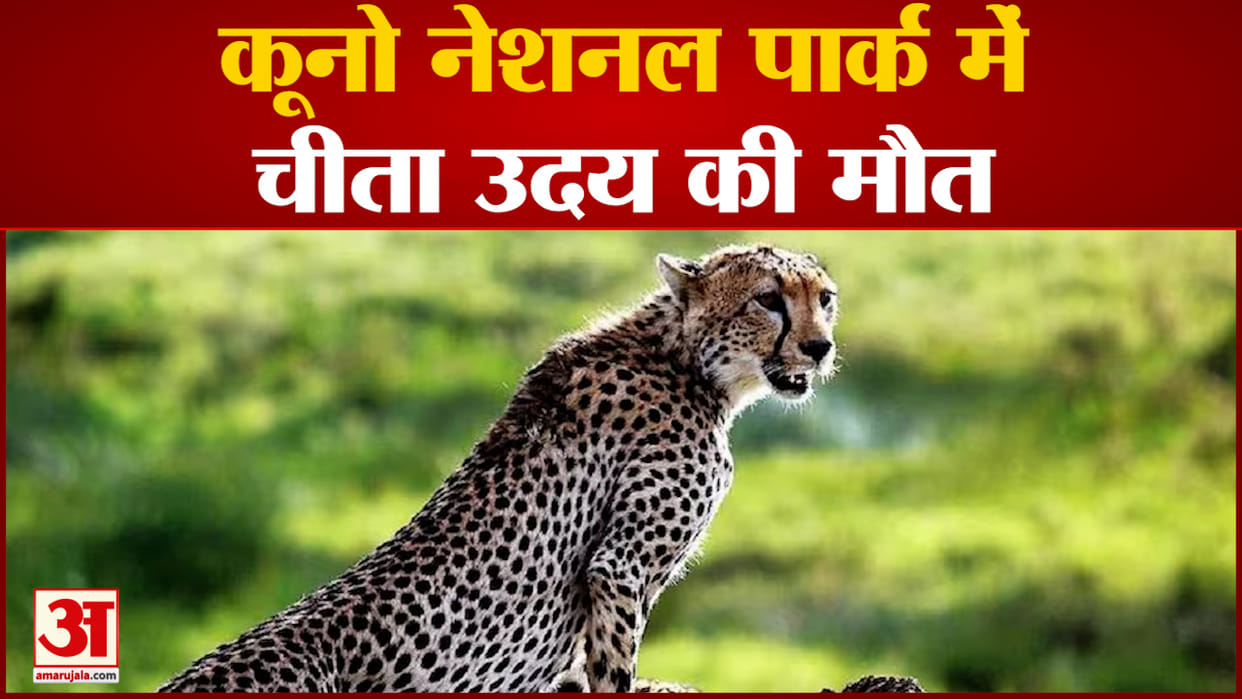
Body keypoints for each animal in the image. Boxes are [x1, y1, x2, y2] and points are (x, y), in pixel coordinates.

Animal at [158, 243, 840, 692]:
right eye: (768, 300)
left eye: (825, 299)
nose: (820, 347)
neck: (684, 360)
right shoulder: (620, 566)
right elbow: (613, 665)